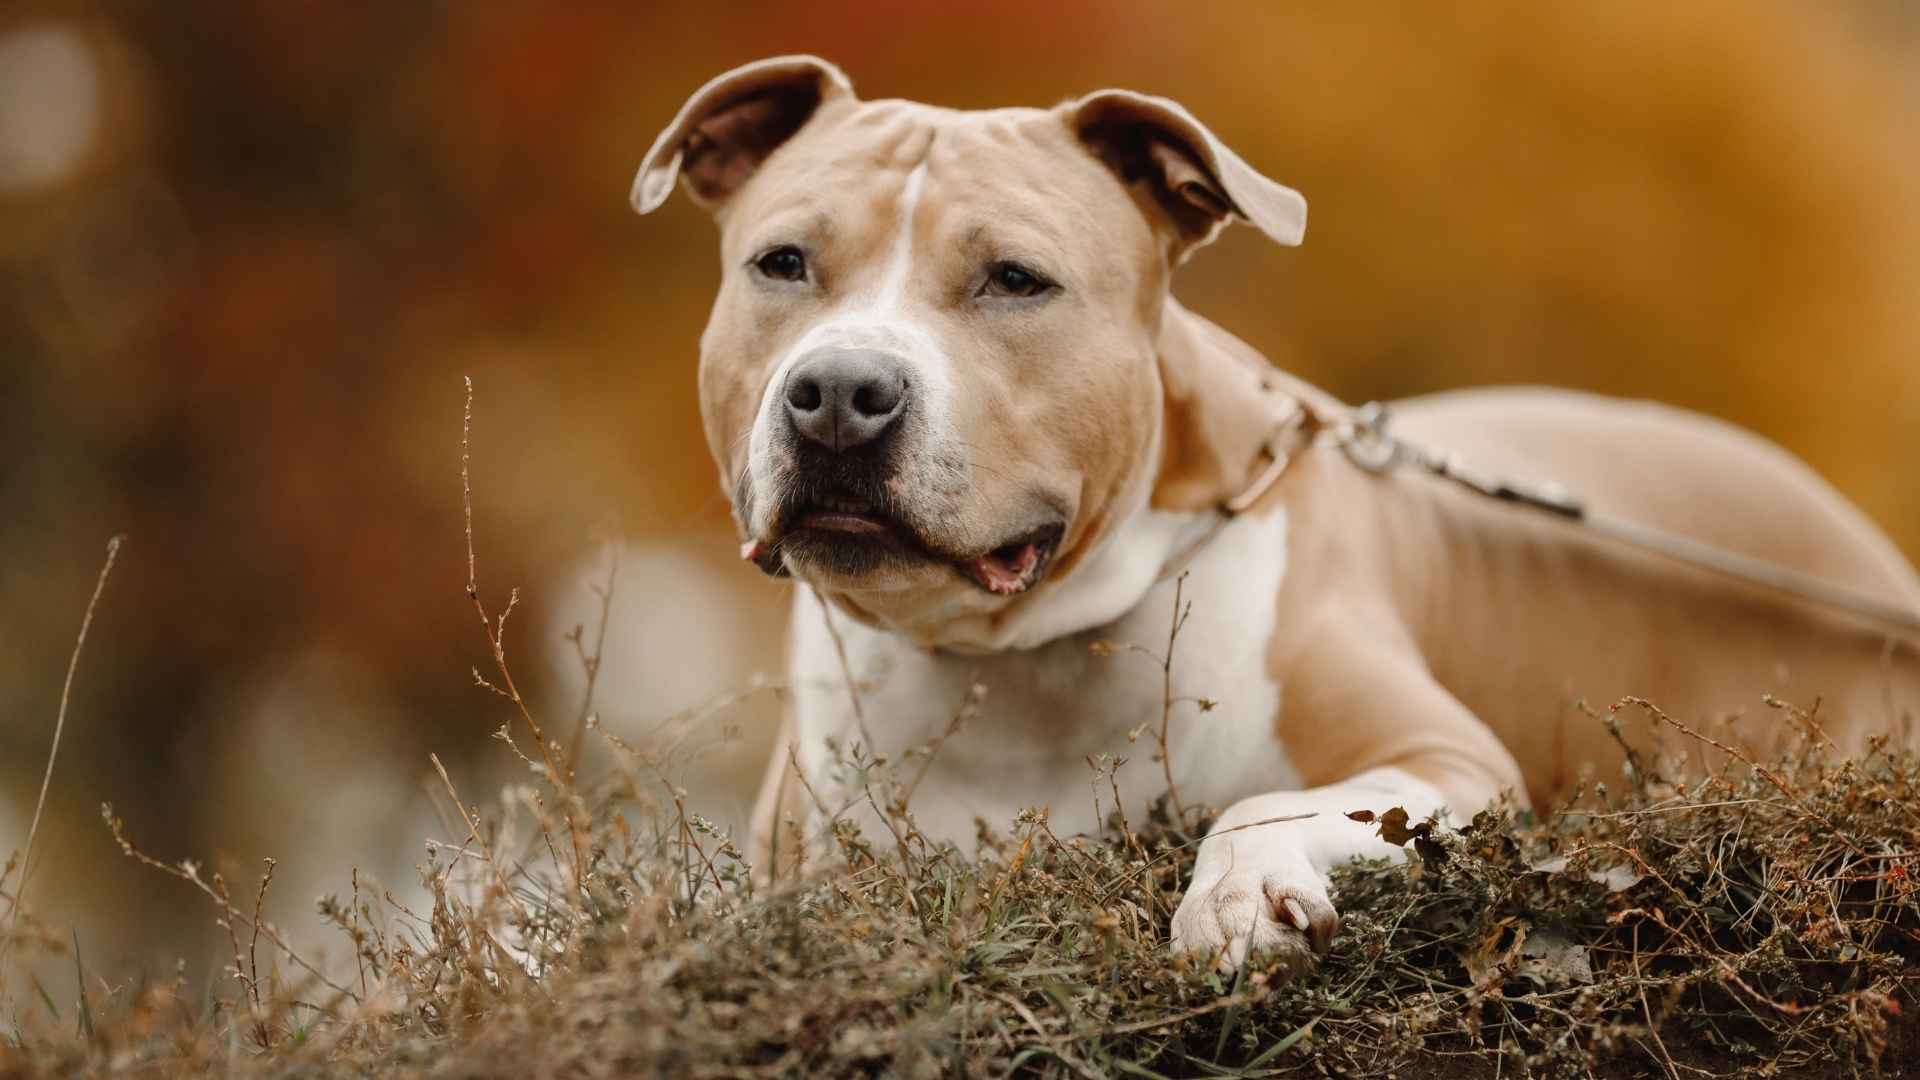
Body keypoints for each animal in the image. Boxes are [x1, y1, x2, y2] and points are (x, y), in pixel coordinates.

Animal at [633, 54, 1920, 972]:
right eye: (782, 262)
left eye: (1016, 280)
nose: (839, 394)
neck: (1019, 655)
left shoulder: (1449, 762)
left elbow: (1266, 799)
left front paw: (1242, 897)